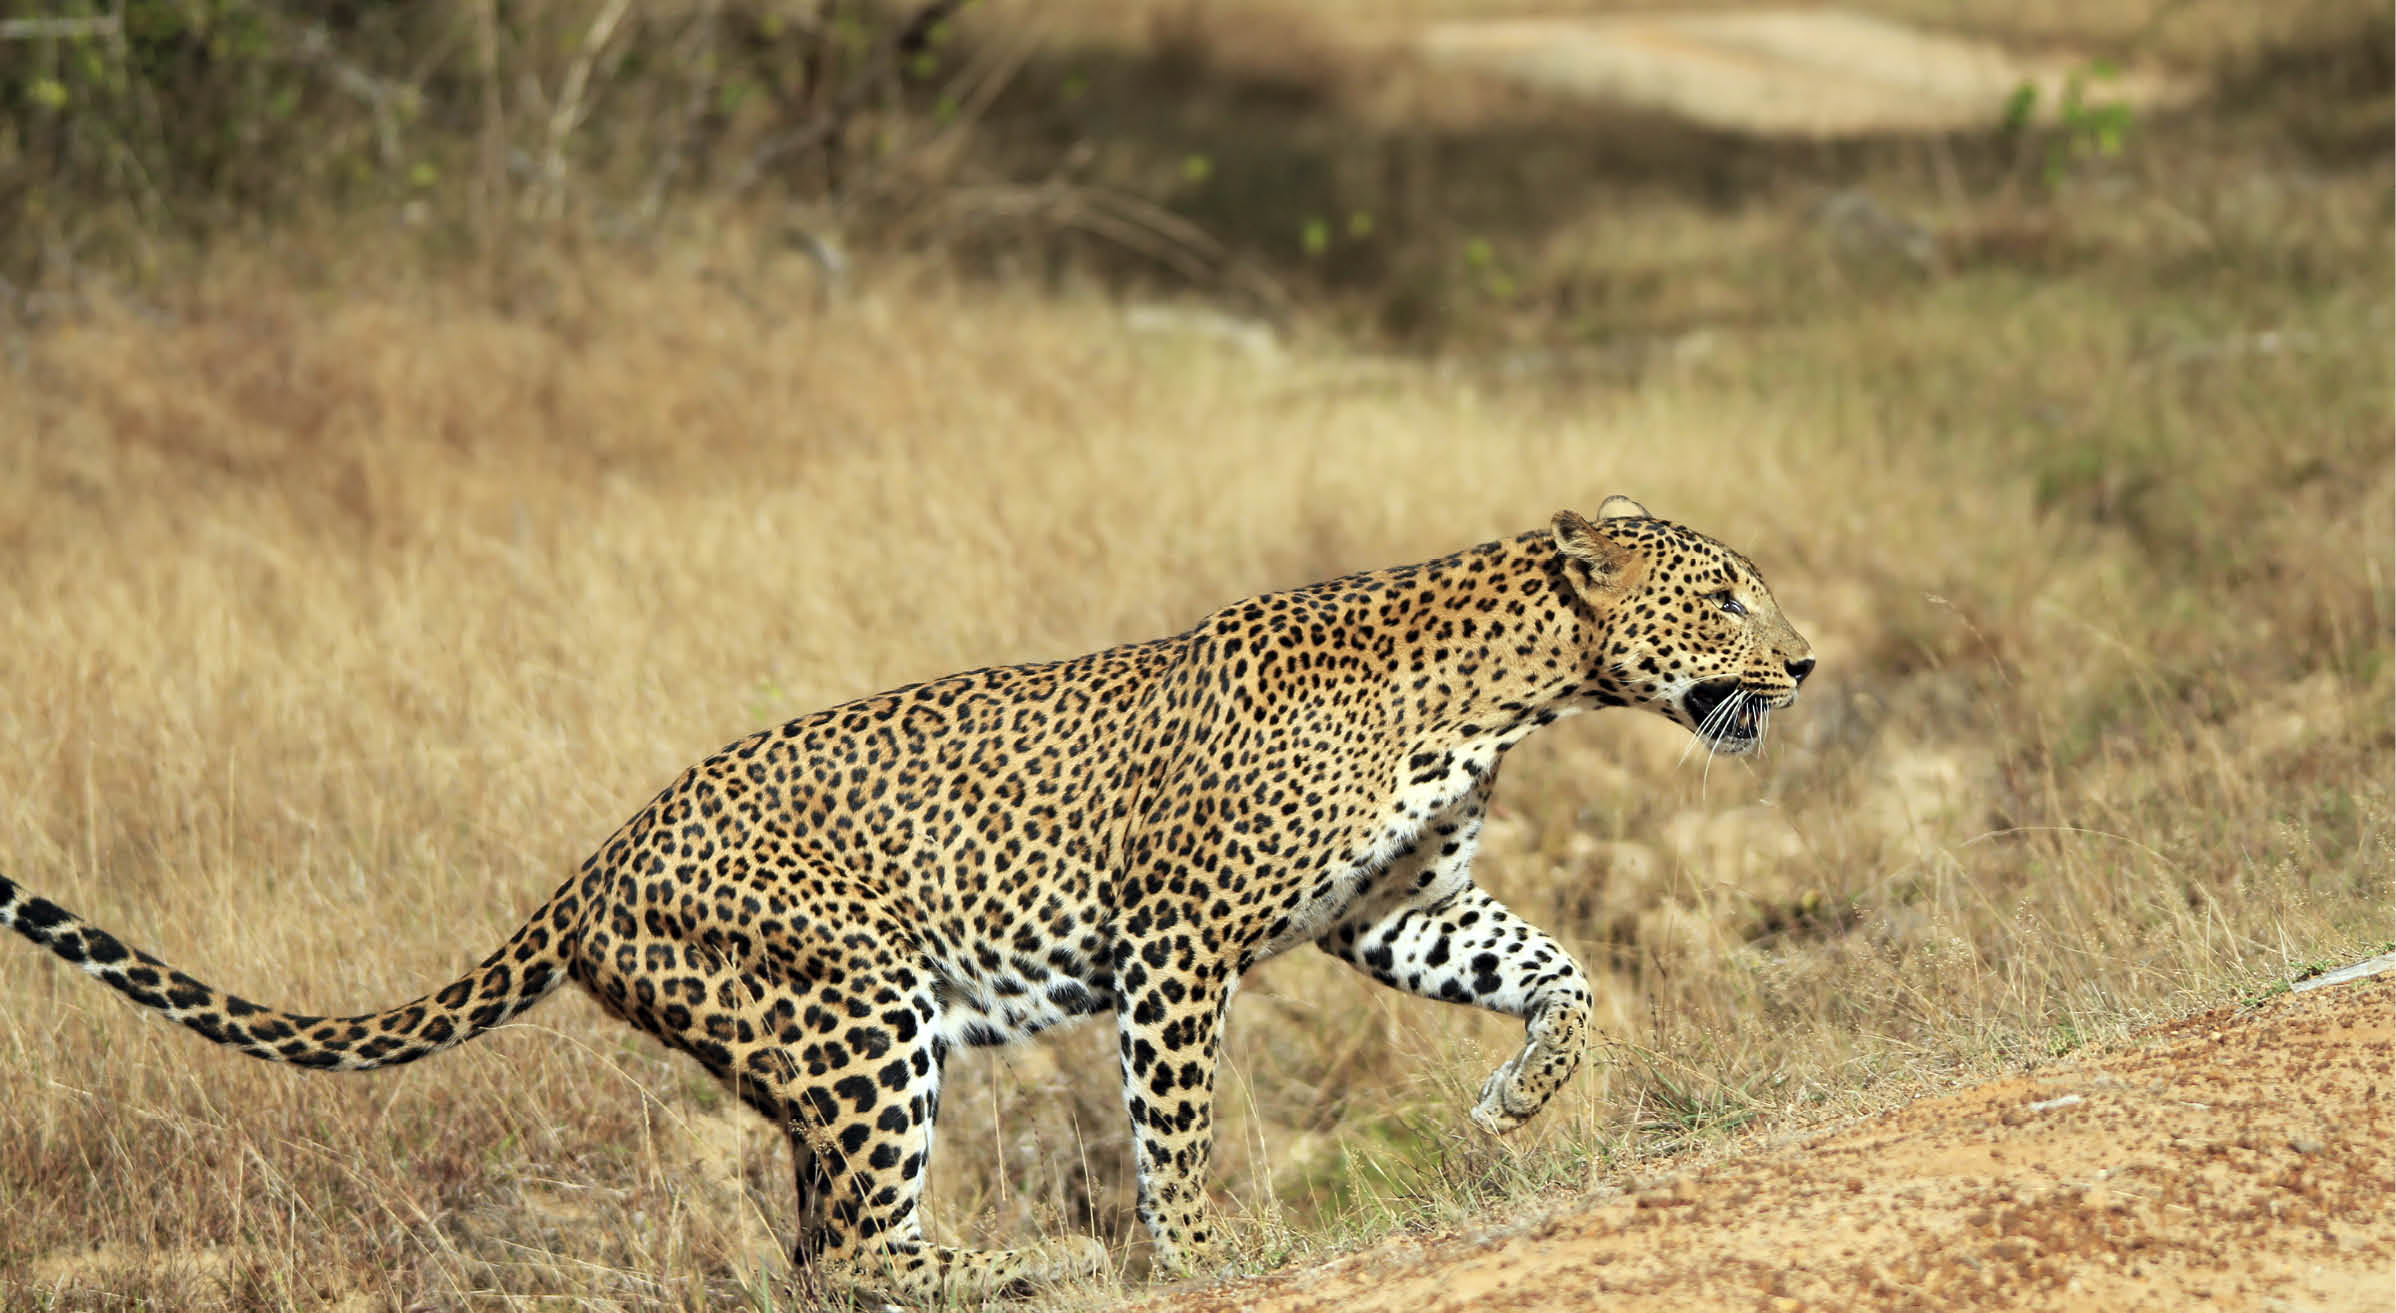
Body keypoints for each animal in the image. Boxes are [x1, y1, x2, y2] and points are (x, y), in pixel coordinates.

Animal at [4, 495, 1811, 1303]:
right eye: (1727, 591)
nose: (1803, 662)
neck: (1505, 692)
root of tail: (594, 862)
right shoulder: (1176, 943)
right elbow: (1173, 1127)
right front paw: (1205, 1252)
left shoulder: (1391, 906)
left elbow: (1558, 968)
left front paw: (1519, 1097)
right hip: (860, 1010)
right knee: (867, 1250)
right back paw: (1035, 1264)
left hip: (815, 1052)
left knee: (825, 1253)